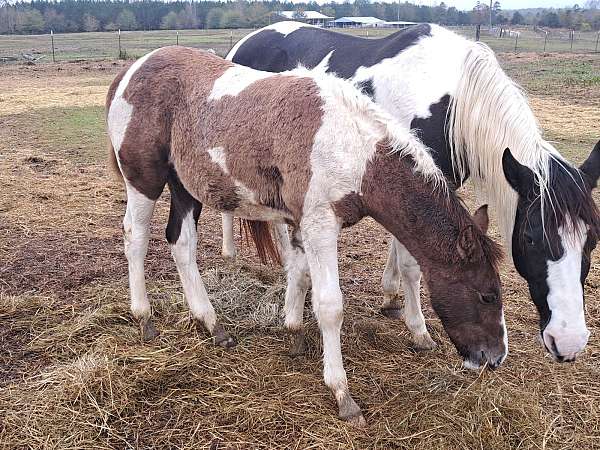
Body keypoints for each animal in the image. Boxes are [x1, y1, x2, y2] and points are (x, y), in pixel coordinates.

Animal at [108, 47, 506, 428]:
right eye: (487, 295)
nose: (495, 357)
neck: (356, 153)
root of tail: (130, 71)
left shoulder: (302, 224)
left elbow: (298, 277)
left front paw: (294, 334)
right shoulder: (320, 225)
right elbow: (330, 306)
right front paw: (342, 394)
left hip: (185, 187)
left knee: (181, 244)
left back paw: (212, 324)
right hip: (144, 180)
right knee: (135, 238)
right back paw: (144, 318)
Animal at [224, 22, 600, 364]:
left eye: (592, 241)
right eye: (531, 238)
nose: (569, 341)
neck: (451, 99)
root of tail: (247, 40)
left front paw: (390, 296)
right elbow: (412, 263)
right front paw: (418, 329)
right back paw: (238, 255)